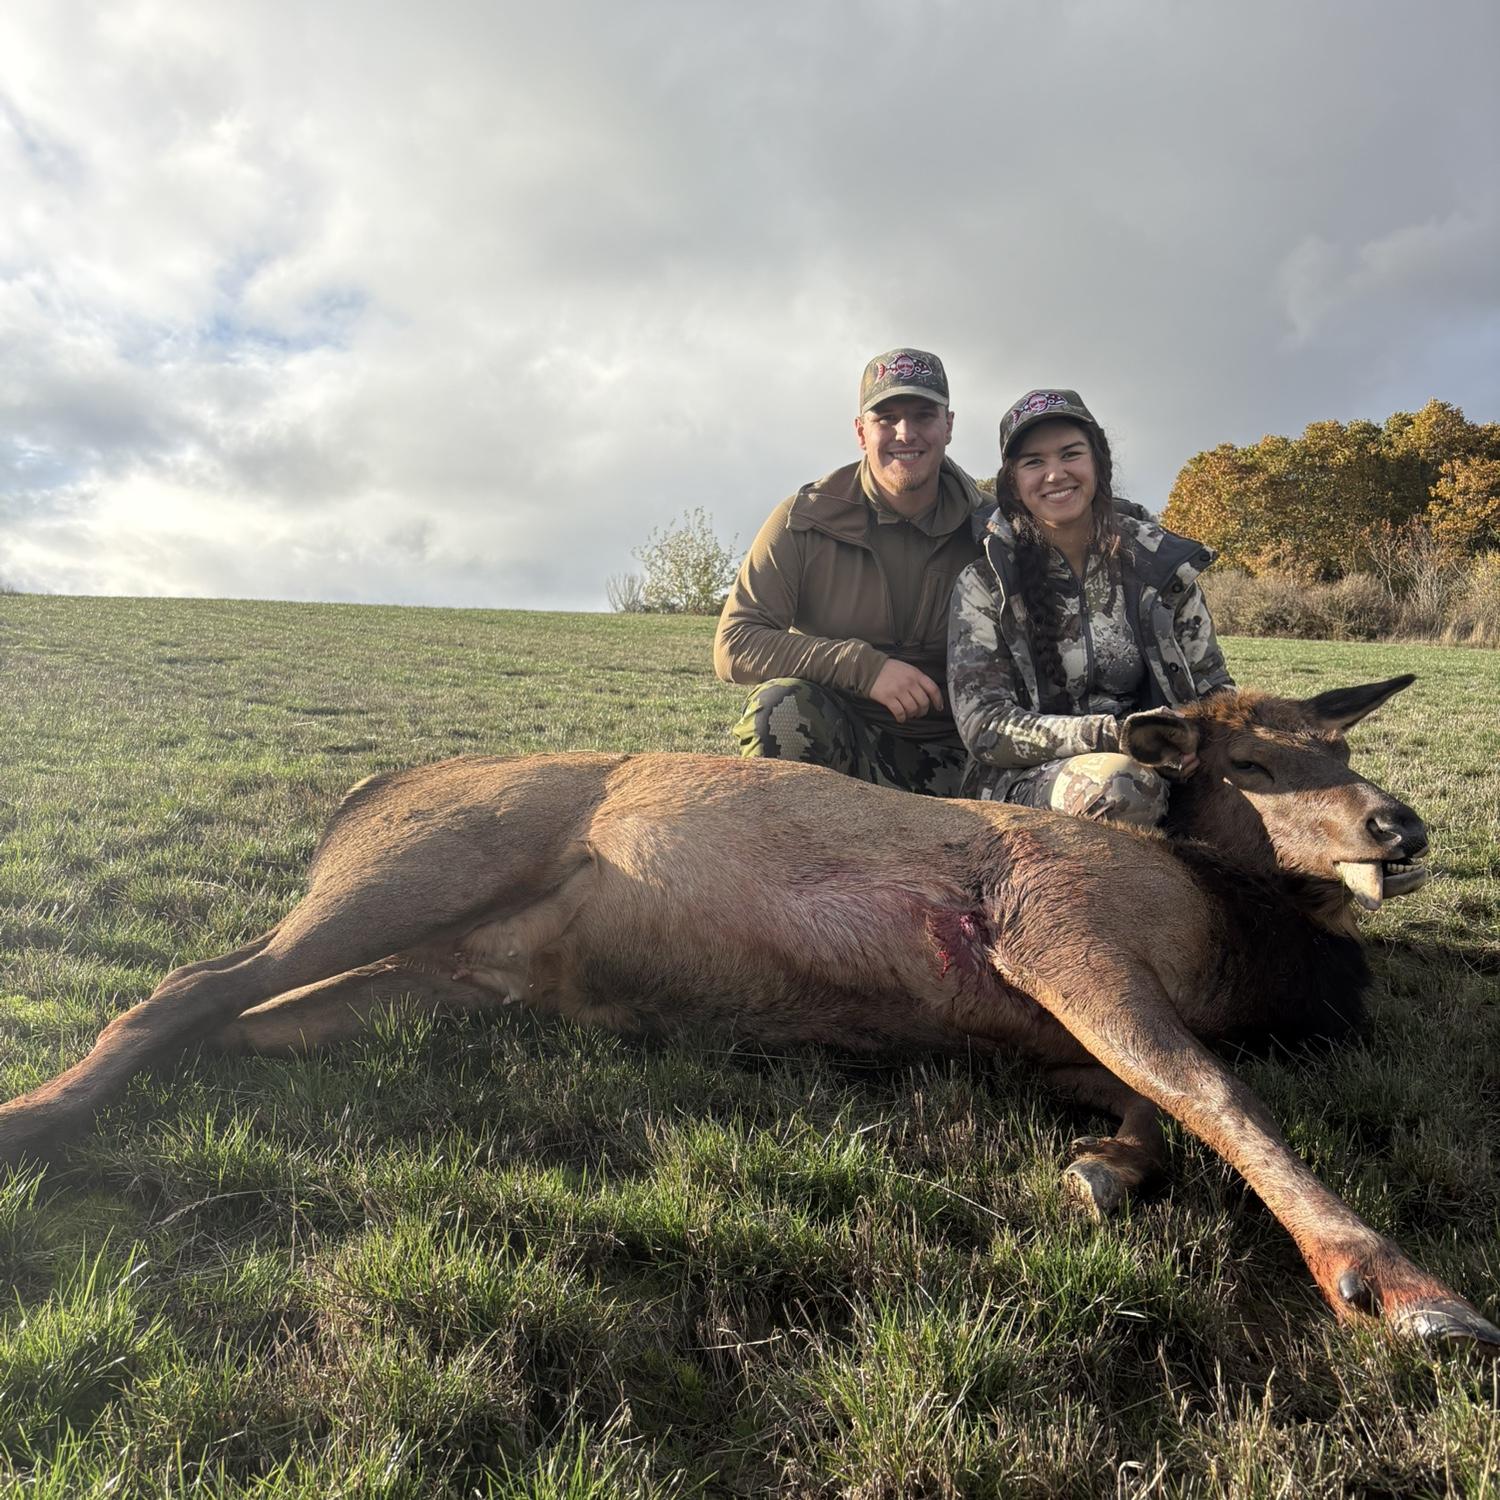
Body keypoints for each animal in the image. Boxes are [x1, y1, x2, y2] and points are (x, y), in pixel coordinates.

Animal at [0, 674, 1494, 1353]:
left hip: (438, 976)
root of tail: (358, 796)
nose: (1400, 823)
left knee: (230, 1017)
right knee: (187, 982)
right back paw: (32, 1119)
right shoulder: (1044, 914)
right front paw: (1406, 1288)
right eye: (1254, 759)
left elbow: (1153, 1099)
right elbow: (1213, 1092)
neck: (1238, 949)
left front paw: (1104, 1168)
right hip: (428, 861)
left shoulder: (1033, 1020)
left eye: (1344, 740)